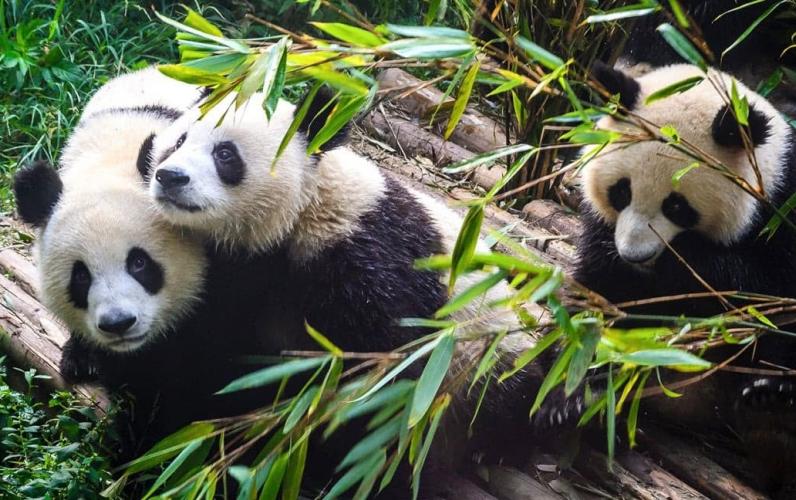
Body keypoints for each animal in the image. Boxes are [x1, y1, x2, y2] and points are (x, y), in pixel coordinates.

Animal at [140, 88, 545, 485]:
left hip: (487, 345)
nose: (170, 176)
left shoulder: (370, 259)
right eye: (178, 141)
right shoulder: (237, 278)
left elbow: (388, 379)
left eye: (225, 154)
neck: (303, 213)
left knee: (512, 390)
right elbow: (212, 358)